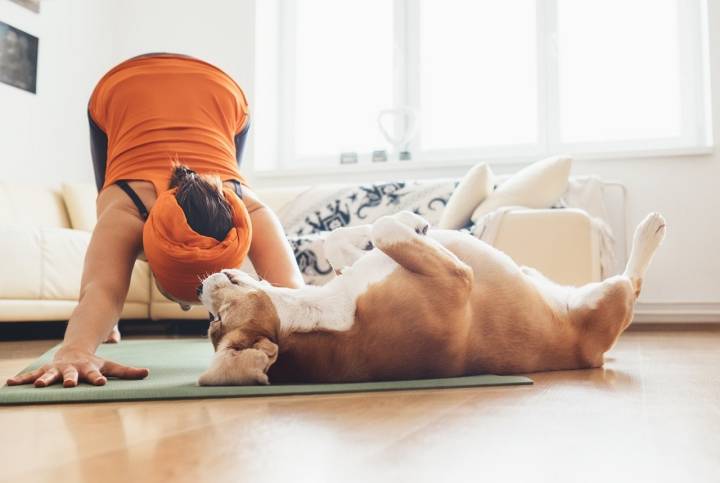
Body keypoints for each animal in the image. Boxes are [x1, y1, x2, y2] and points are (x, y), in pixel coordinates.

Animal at [195, 212, 664, 386]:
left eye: (214, 320)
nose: (200, 287)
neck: (321, 314)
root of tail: (594, 358)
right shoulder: (457, 279)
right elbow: (384, 228)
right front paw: (409, 218)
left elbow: (341, 240)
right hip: (611, 299)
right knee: (633, 284)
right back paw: (649, 231)